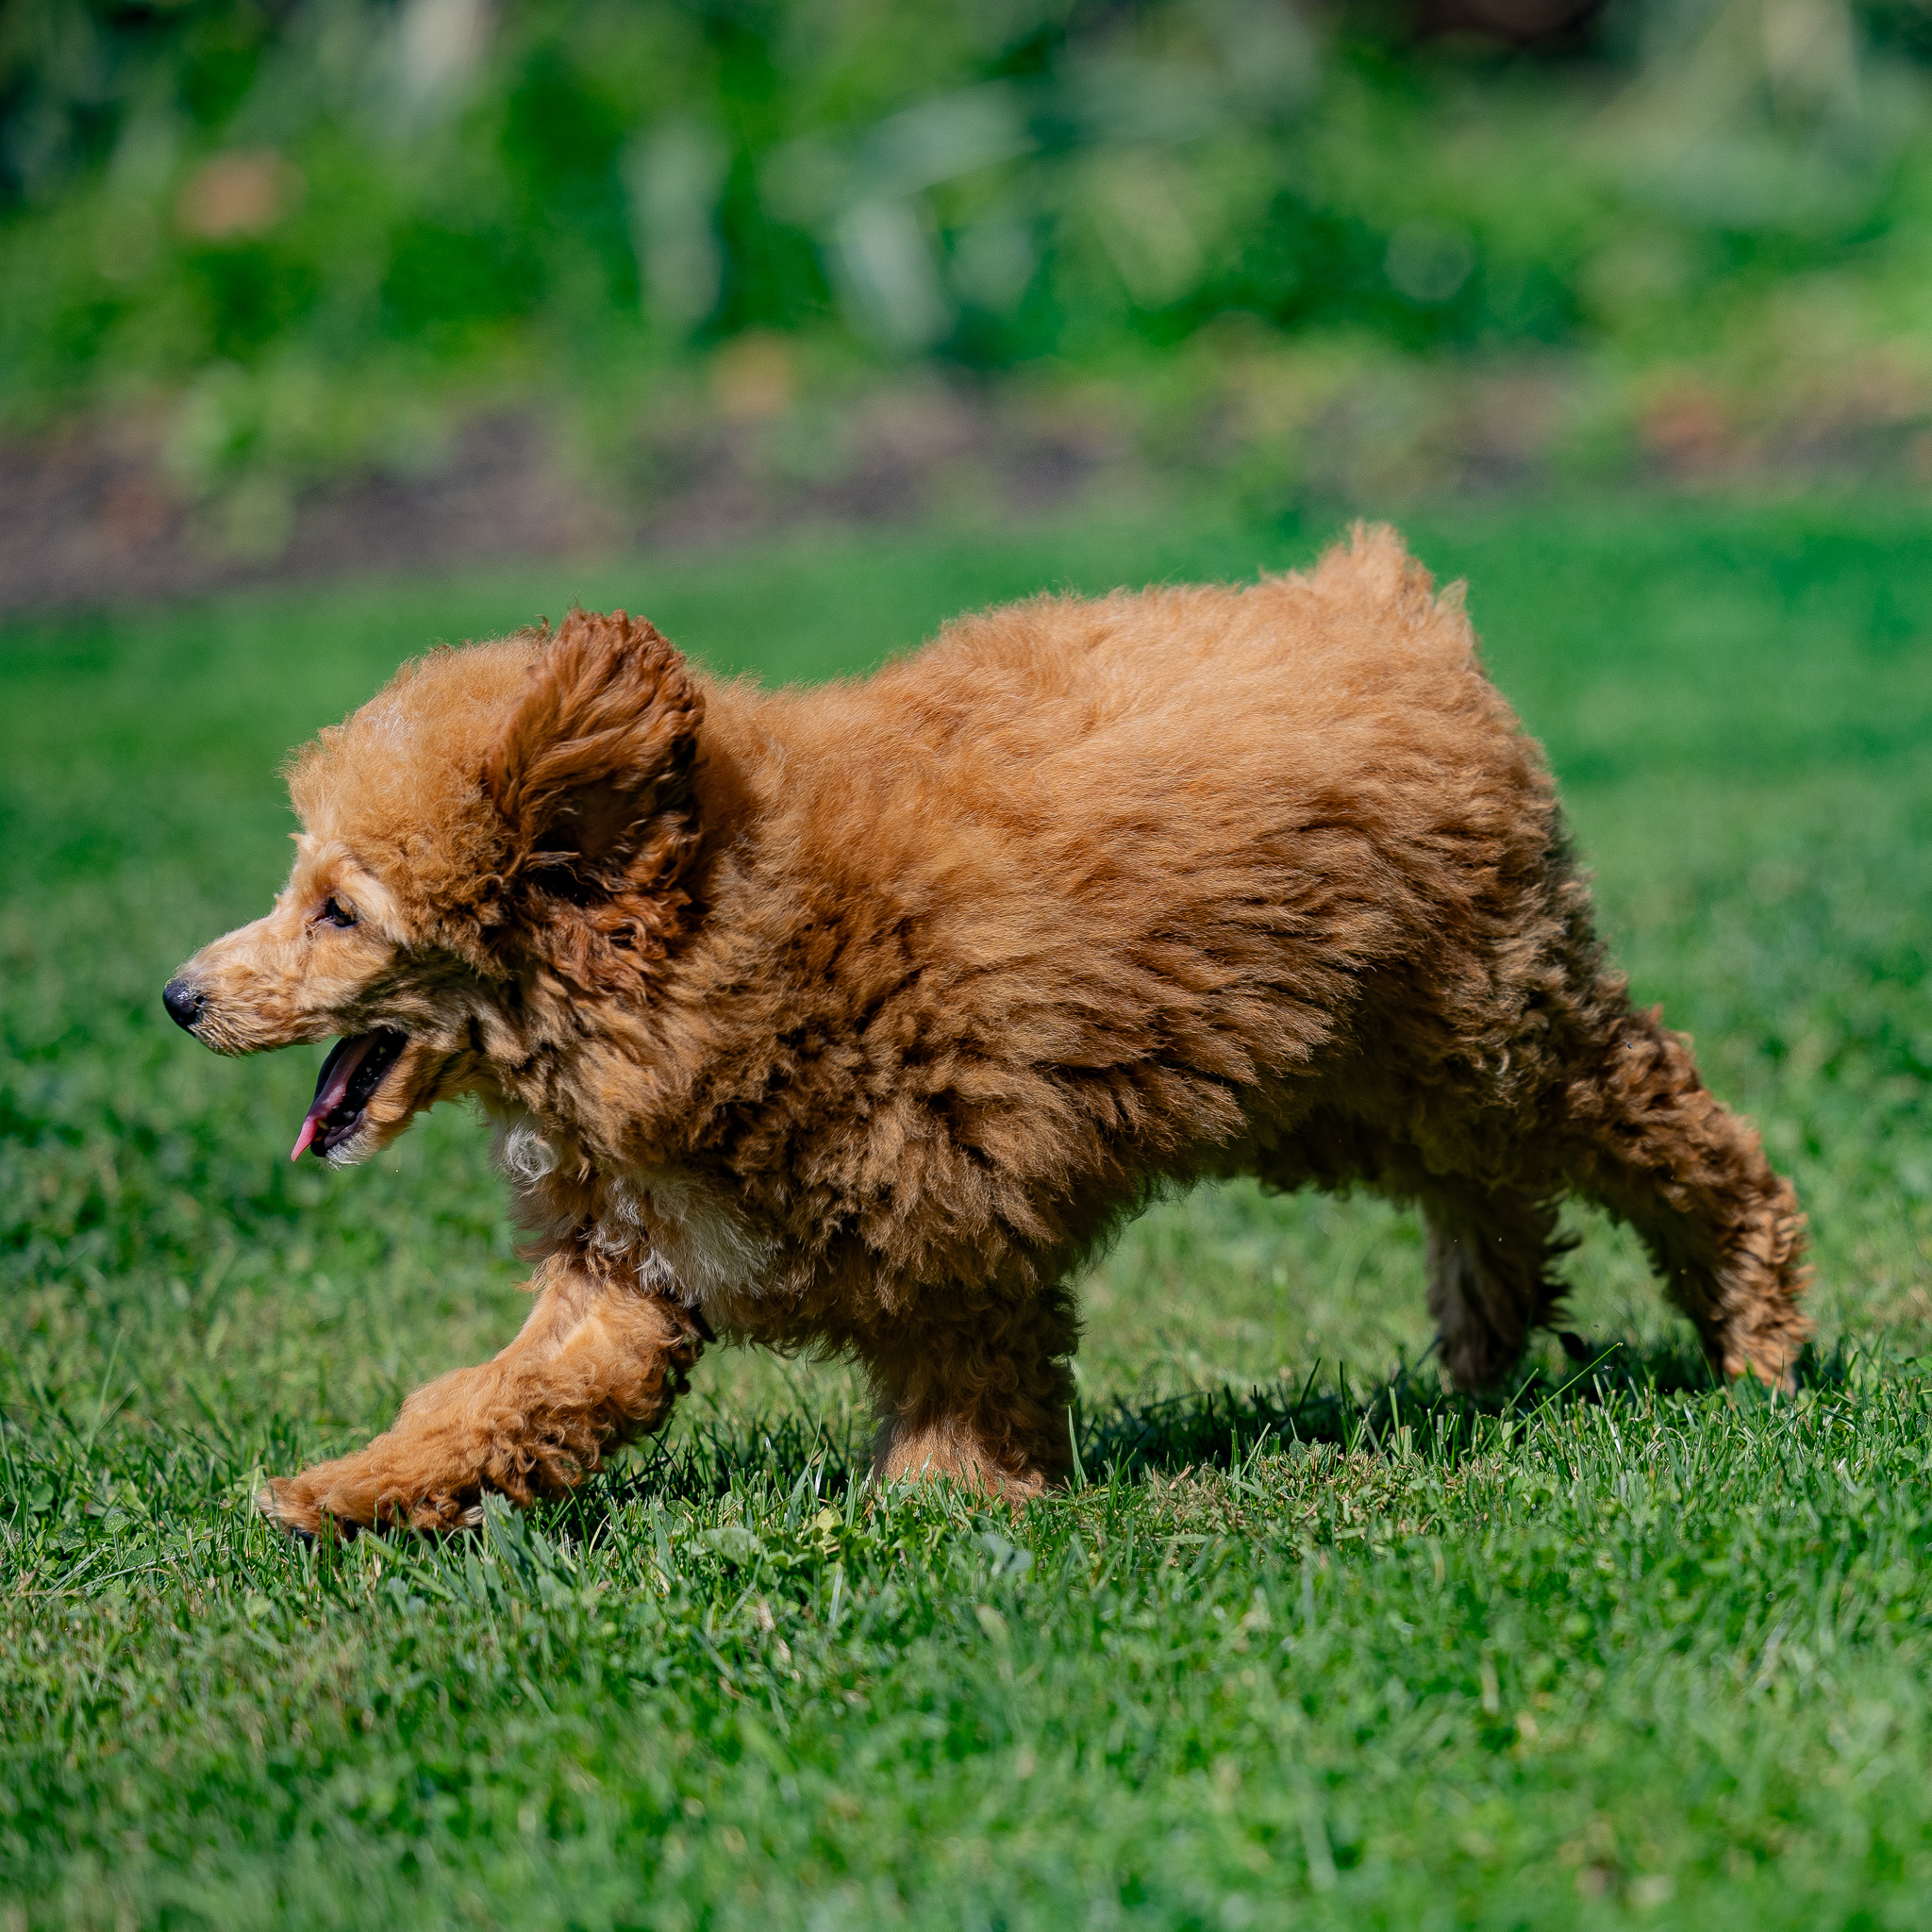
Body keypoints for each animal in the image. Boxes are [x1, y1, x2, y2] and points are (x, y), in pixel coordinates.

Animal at [162, 521, 1807, 1530]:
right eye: (300, 887)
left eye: (338, 912)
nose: (178, 996)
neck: (715, 956)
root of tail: (1386, 610)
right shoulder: (634, 1269)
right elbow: (519, 1394)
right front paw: (354, 1492)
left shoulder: (956, 1198)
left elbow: (968, 1363)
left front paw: (942, 1504)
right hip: (1360, 1073)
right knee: (1490, 1183)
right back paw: (1487, 1333)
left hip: (1484, 1026)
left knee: (1665, 1131)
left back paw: (1759, 1329)